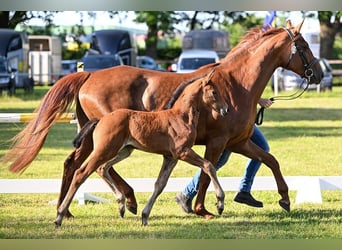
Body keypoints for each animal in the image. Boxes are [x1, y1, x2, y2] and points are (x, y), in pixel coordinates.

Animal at [54, 71, 228, 227]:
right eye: (214, 92)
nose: (225, 109)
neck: (181, 116)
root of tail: (101, 119)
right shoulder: (182, 152)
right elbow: (209, 165)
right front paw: (220, 204)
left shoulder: (170, 157)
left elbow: (160, 185)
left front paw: (145, 216)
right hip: (106, 149)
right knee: (81, 173)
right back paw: (60, 216)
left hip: (124, 150)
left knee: (102, 168)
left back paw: (122, 205)